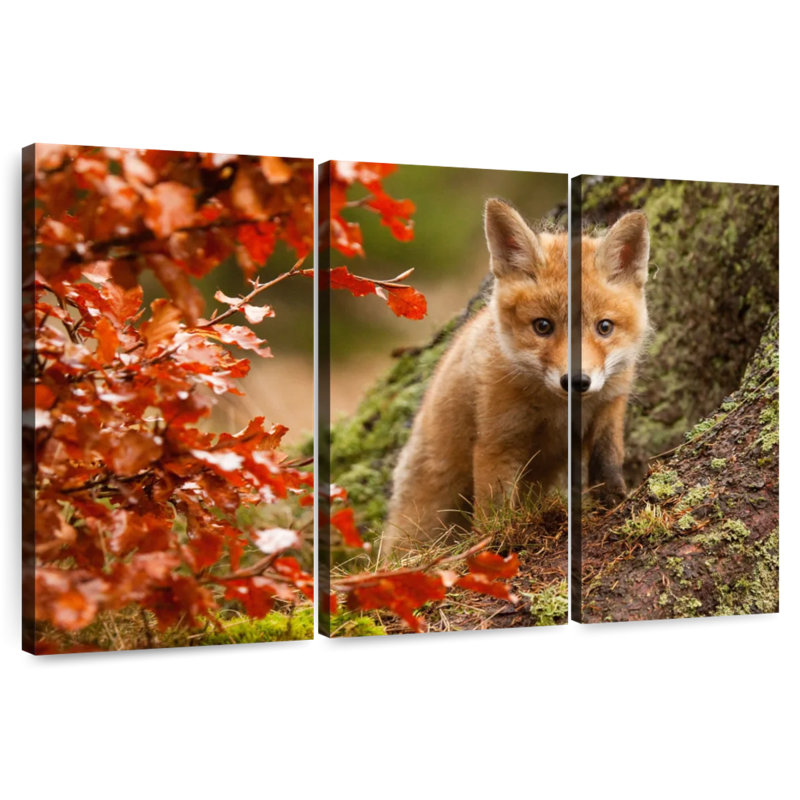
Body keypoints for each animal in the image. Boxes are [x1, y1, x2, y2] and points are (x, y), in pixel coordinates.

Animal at [381, 198, 650, 557]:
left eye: (604, 327)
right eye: (542, 326)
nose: (576, 381)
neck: (556, 410)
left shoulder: (609, 409)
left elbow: (606, 460)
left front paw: (615, 500)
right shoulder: (498, 440)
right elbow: (494, 507)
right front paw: (497, 544)